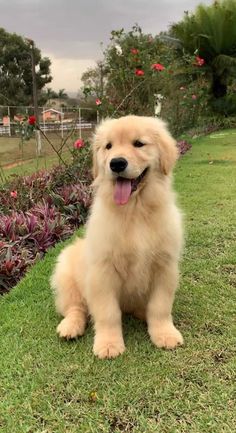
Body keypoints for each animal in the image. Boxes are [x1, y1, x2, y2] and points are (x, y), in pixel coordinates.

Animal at [51, 115, 184, 358]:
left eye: (139, 143)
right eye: (108, 146)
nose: (117, 163)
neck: (135, 211)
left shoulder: (165, 267)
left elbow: (160, 307)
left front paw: (164, 333)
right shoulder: (102, 271)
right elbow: (108, 313)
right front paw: (109, 344)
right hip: (66, 274)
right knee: (75, 307)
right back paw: (70, 326)